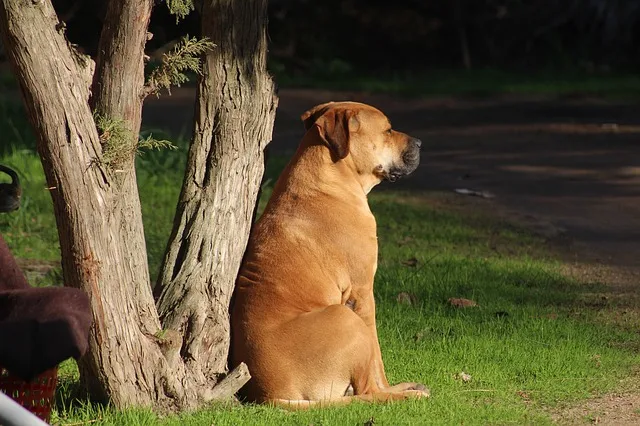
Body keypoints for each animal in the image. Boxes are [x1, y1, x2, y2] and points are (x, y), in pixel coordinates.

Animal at [231, 100, 430, 410]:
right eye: (387, 130)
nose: (420, 143)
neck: (329, 177)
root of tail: (270, 395)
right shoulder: (362, 294)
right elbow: (377, 357)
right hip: (345, 319)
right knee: (368, 392)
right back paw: (404, 395)